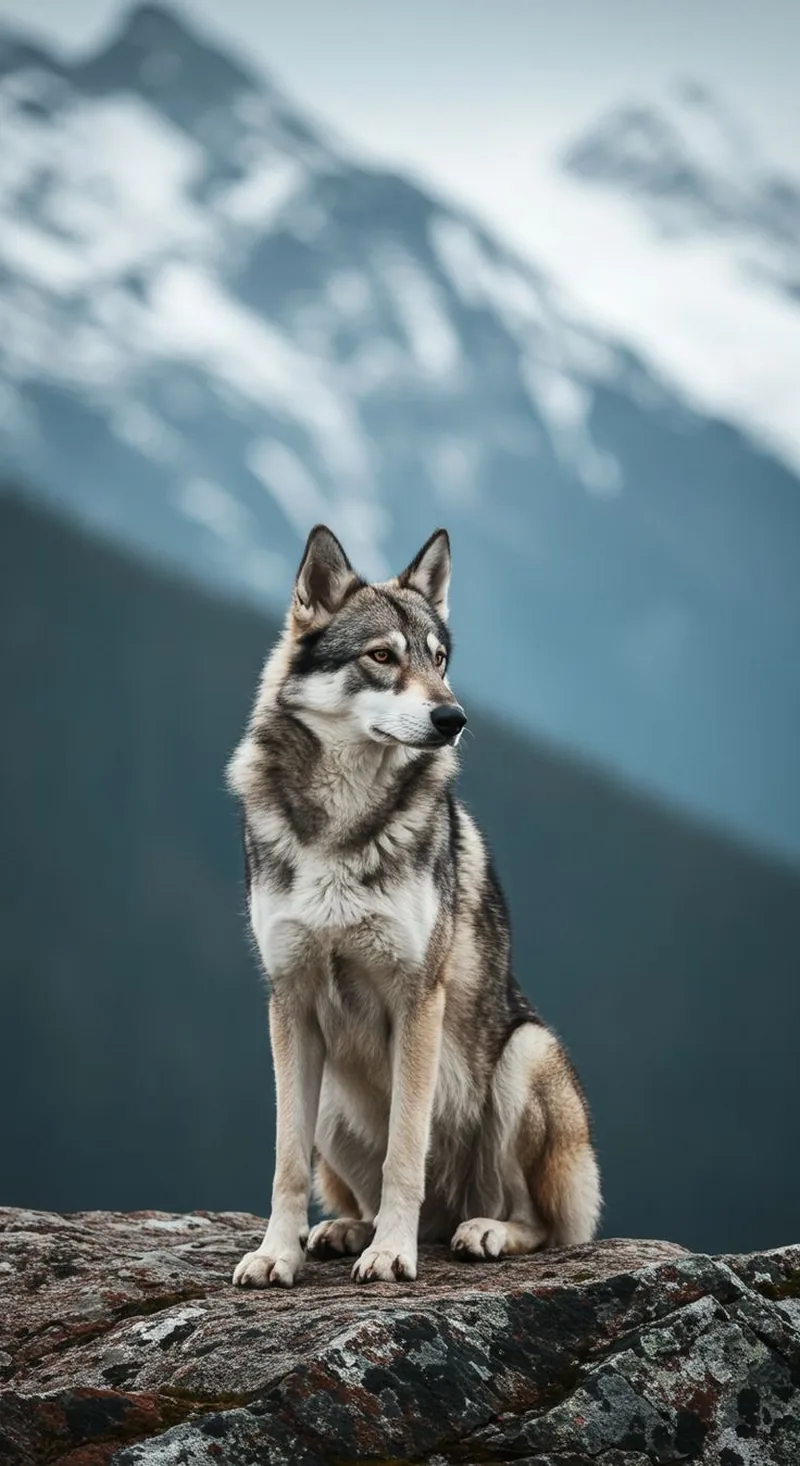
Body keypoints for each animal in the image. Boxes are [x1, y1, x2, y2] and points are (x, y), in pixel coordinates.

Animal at [227, 525, 601, 1286]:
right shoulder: (290, 1001)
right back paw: (346, 1231)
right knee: (366, 1194)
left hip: (525, 1053)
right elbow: (285, 1163)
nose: (453, 716)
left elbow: (407, 1153)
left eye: (440, 659)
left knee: (540, 1223)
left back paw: (477, 1231)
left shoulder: (415, 999)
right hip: (331, 1098)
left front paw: (392, 1256)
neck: (343, 823)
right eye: (382, 656)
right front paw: (276, 1254)